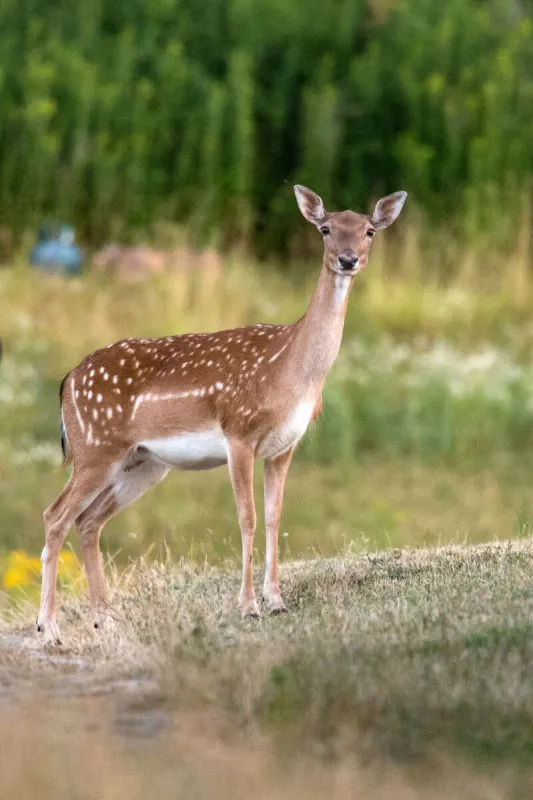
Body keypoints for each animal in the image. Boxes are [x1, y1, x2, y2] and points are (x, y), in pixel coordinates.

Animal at [35, 184, 406, 640]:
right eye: (325, 229)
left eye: (370, 230)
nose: (348, 259)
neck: (290, 369)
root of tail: (68, 380)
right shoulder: (238, 431)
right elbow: (247, 518)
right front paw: (248, 607)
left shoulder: (285, 445)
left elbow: (273, 517)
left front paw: (276, 601)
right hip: (95, 447)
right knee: (55, 516)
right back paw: (49, 627)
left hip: (142, 462)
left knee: (88, 521)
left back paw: (106, 619)